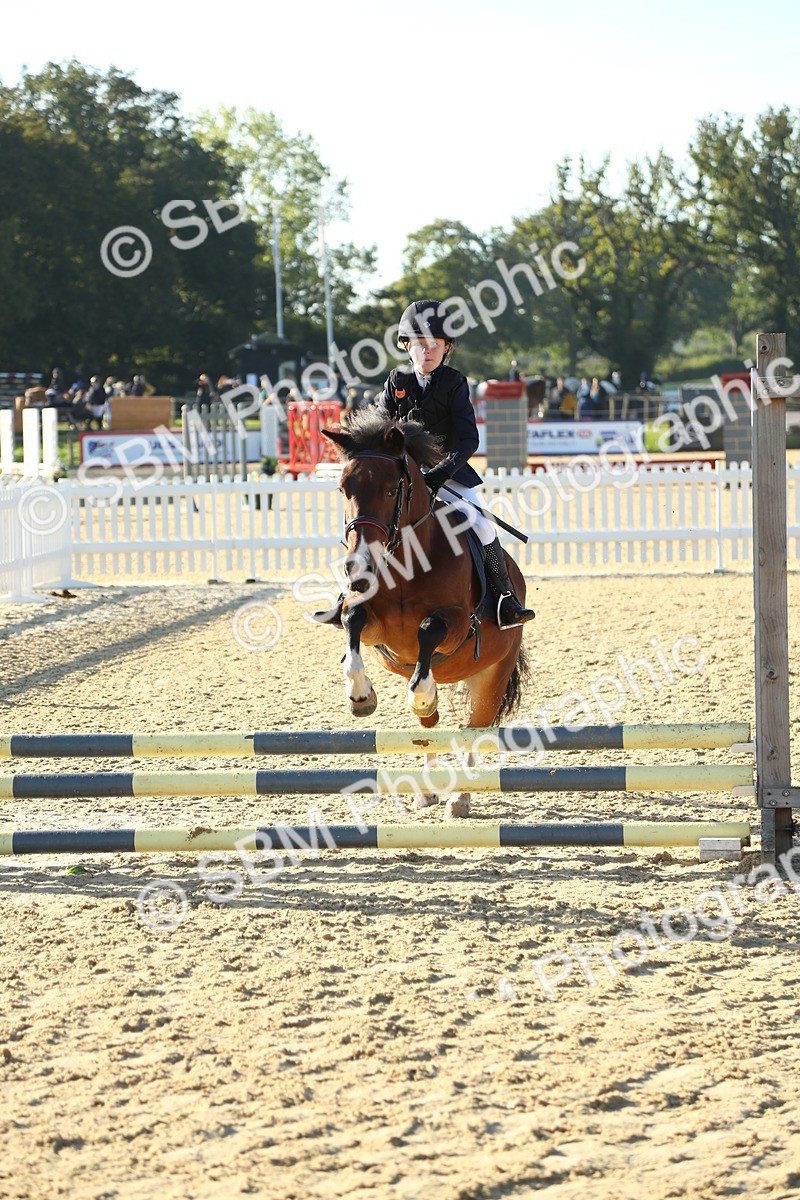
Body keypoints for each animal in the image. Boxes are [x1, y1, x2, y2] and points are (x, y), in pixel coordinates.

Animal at [320, 408, 529, 815]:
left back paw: (461, 797)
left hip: (493, 674)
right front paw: (361, 696)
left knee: (473, 729)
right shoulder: (375, 628)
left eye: (391, 489)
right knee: (430, 730)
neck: (407, 558)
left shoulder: (457, 623)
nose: (358, 566)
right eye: (342, 489)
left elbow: (429, 631)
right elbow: (353, 622)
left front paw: (423, 693)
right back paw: (429, 789)